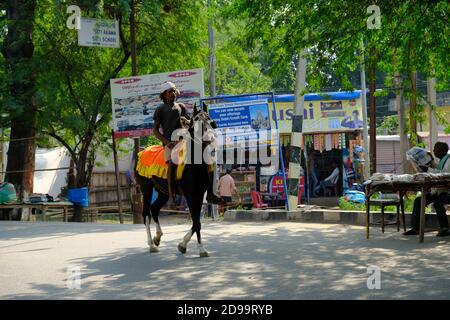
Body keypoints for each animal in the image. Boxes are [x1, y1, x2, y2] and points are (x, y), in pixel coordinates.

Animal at [135, 102, 218, 258]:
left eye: (209, 118)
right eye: (196, 119)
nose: (209, 137)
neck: (195, 165)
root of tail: (142, 152)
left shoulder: (199, 196)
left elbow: (196, 222)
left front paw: (183, 244)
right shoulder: (191, 196)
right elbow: (197, 223)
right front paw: (201, 249)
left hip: (163, 192)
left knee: (154, 209)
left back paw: (157, 237)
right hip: (146, 189)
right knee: (146, 213)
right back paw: (151, 244)